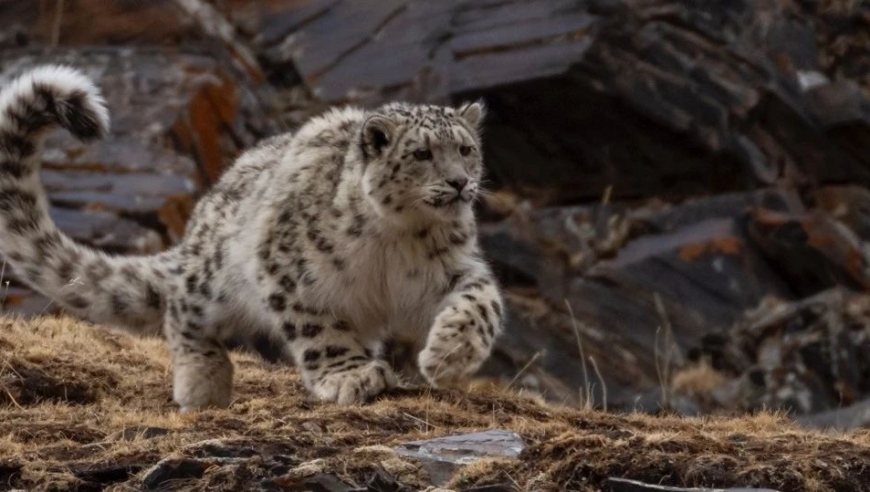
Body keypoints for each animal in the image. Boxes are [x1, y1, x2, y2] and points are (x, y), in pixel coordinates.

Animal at [0, 65, 504, 412]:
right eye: (422, 154)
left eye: (466, 149)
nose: (460, 183)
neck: (398, 240)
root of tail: (200, 219)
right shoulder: (291, 272)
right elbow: (321, 332)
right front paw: (350, 377)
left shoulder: (453, 267)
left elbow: (480, 303)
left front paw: (449, 354)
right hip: (212, 281)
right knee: (182, 310)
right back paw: (203, 381)